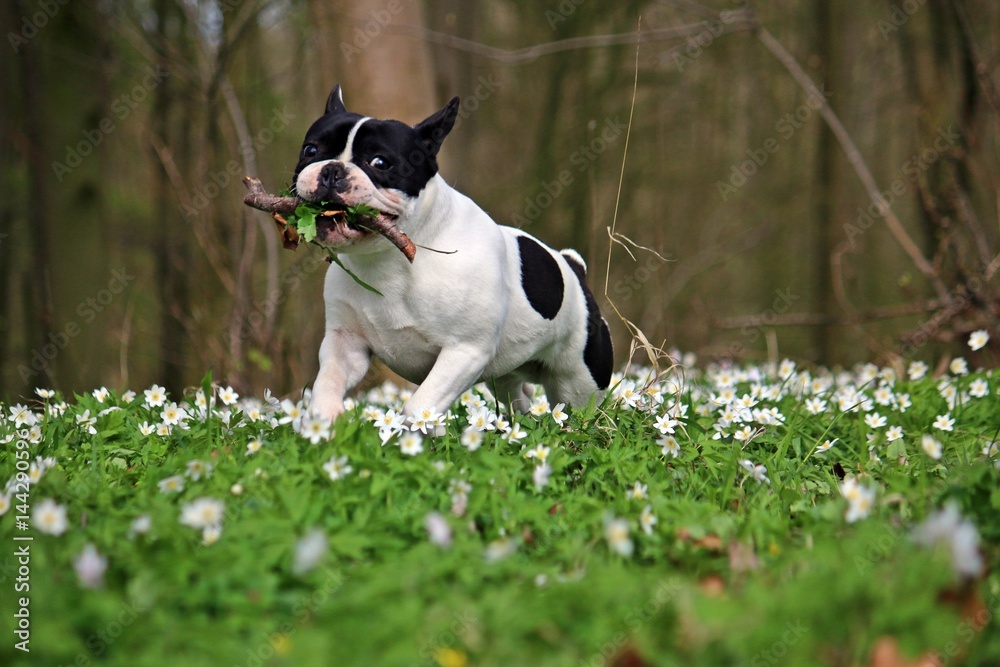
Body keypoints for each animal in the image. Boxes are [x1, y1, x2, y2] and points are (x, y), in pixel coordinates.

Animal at [292, 86, 612, 420]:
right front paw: (324, 420)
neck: (392, 258)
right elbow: (328, 382)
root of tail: (574, 269)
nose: (332, 169)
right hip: (506, 375)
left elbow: (419, 406)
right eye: (310, 151)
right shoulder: (345, 344)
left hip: (578, 381)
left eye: (380, 162)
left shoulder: (465, 351)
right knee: (518, 397)